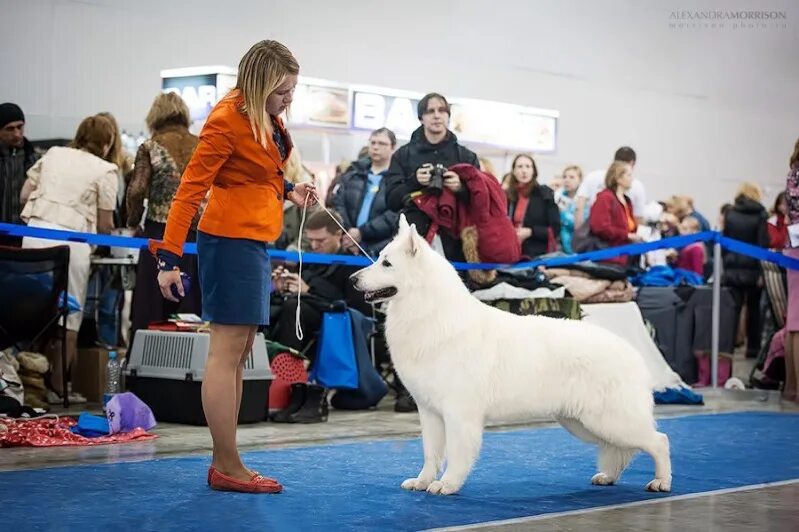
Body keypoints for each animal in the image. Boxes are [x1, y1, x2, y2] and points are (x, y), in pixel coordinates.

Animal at [354, 214, 672, 496]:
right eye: (379, 257)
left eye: (386, 263)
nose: (353, 278)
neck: (429, 311)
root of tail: (632, 352)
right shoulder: (429, 412)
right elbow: (431, 453)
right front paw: (422, 482)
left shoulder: (459, 413)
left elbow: (456, 454)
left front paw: (448, 484)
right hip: (584, 423)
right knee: (622, 449)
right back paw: (608, 477)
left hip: (610, 420)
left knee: (659, 441)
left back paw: (661, 482)